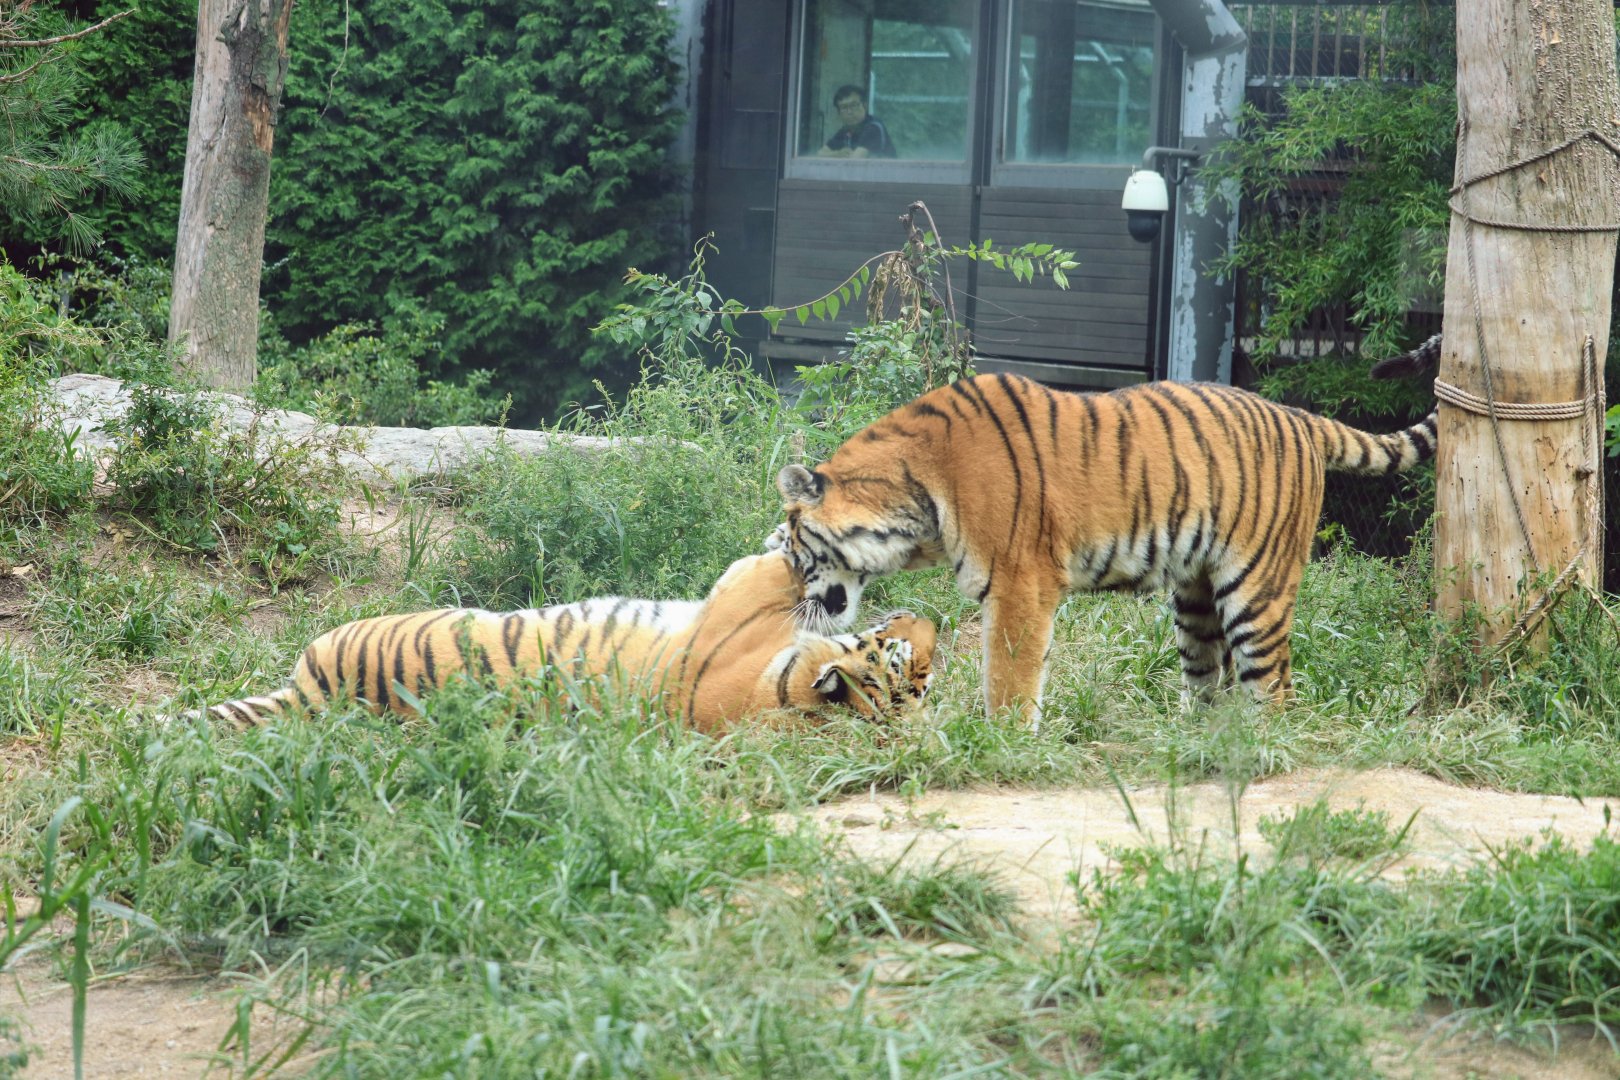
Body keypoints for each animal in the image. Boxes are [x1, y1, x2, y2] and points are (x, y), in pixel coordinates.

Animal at [771, 371, 1438, 723]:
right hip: (1194, 599)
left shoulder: (1019, 583)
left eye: (790, 546)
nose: (791, 602)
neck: (917, 504)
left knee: (1274, 691)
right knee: (1210, 680)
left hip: (1258, 590)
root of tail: (1301, 418)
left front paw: (999, 740)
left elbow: (1008, 675)